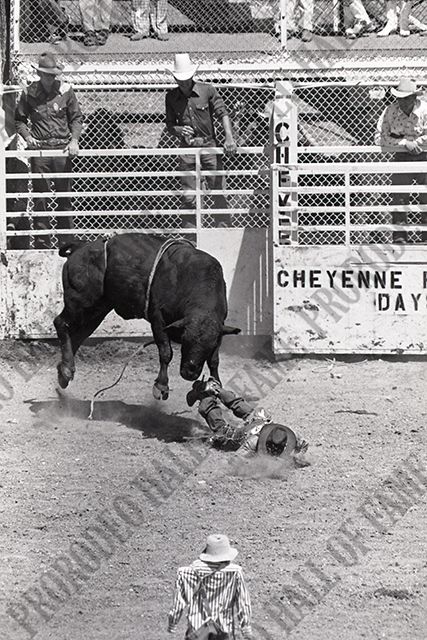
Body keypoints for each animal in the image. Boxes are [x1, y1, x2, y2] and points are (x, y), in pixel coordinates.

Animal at [54, 234, 240, 400]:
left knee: (77, 337)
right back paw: (66, 368)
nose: (189, 371)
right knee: (60, 323)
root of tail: (81, 247)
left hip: (96, 311)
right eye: (185, 340)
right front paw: (161, 386)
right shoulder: (158, 320)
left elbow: (214, 360)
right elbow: (166, 352)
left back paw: (64, 371)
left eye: (210, 345)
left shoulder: (219, 329)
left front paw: (217, 383)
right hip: (80, 302)